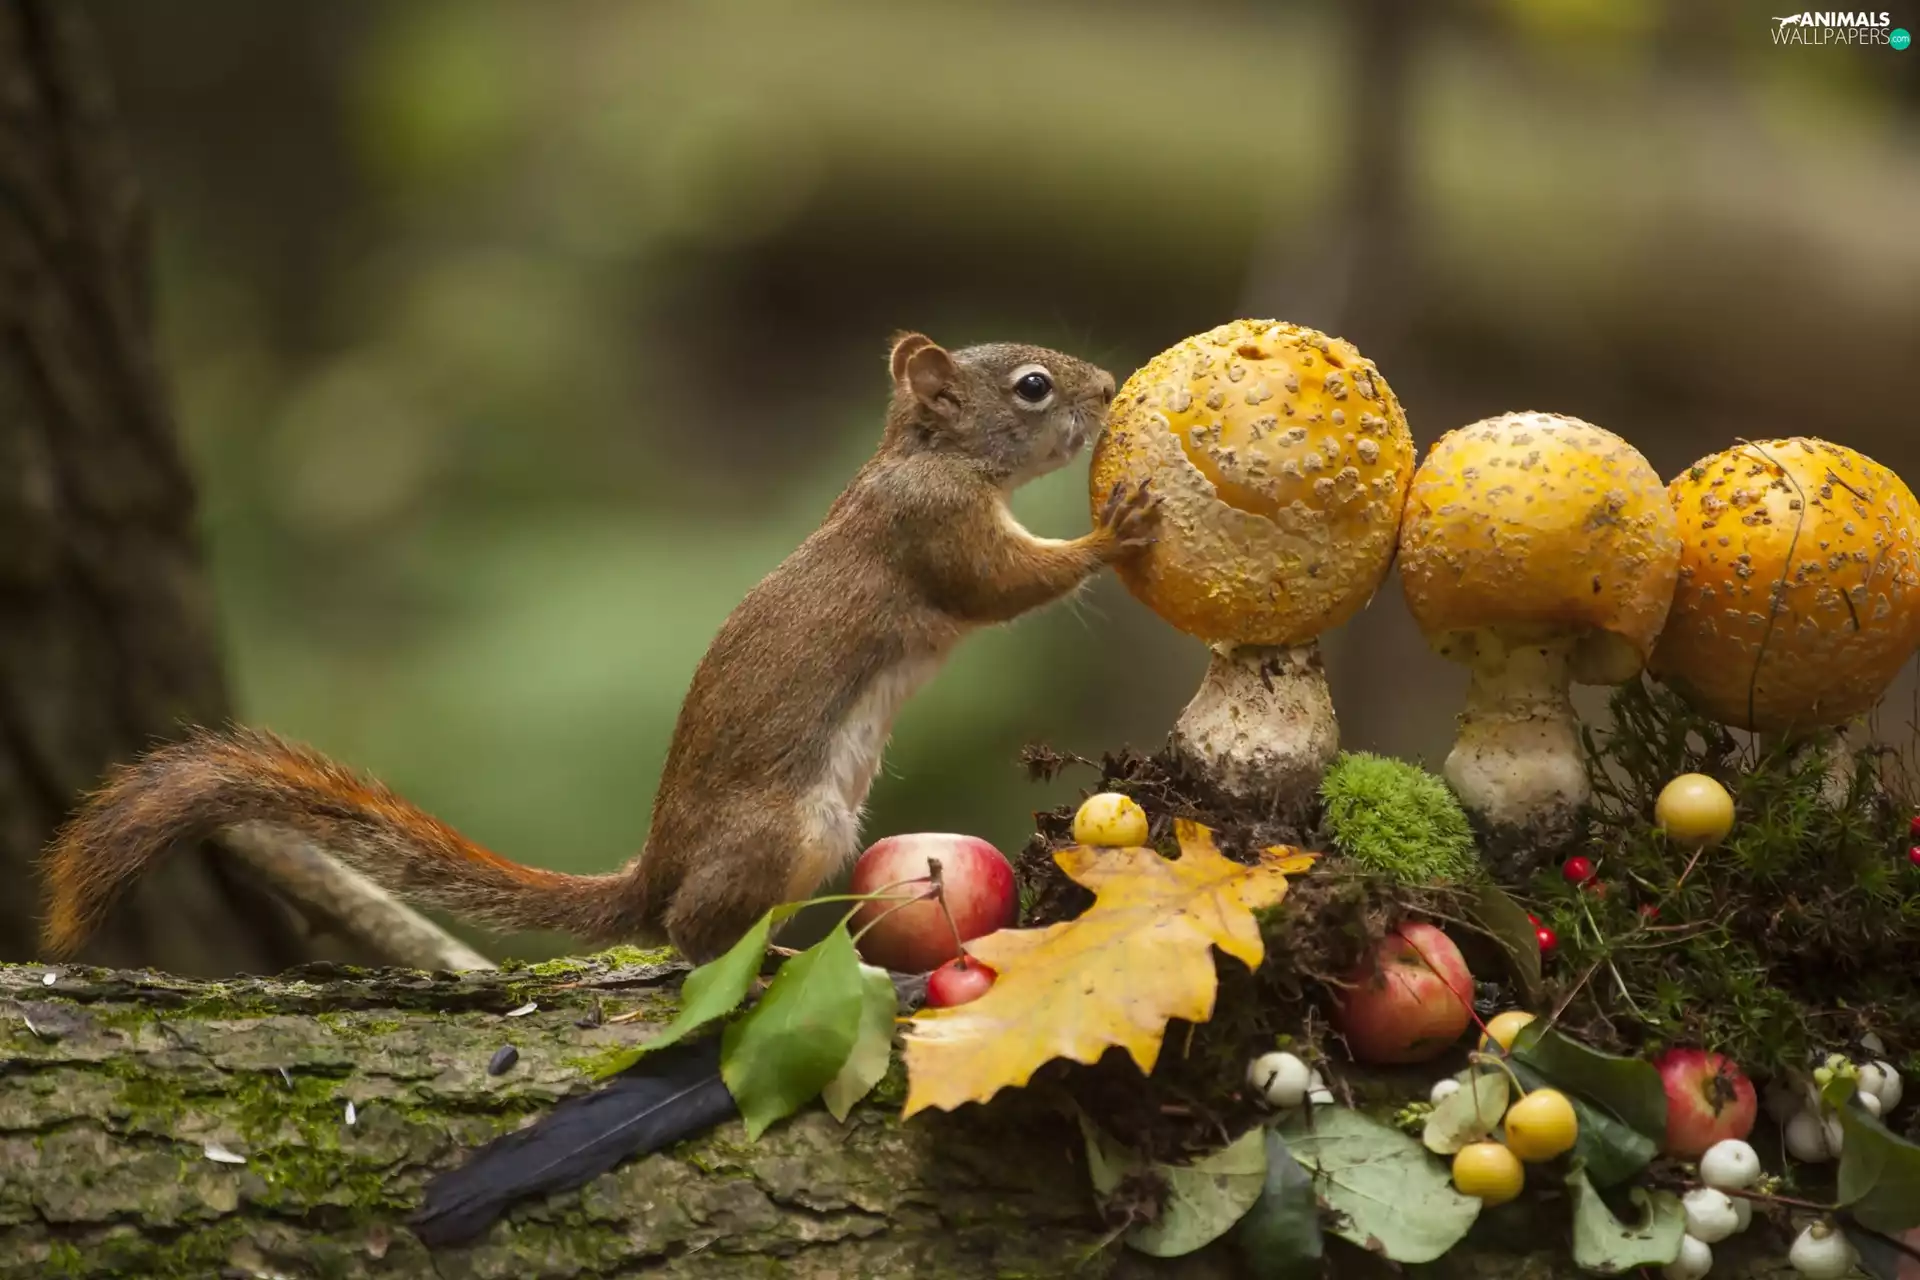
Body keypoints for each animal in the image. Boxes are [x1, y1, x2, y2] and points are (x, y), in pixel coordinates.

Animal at [41, 332, 1159, 965]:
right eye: (1032, 386)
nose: (1109, 385)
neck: (924, 456)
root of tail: (652, 871)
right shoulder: (930, 530)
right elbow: (1000, 585)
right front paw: (1115, 531)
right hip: (786, 830)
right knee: (686, 934)